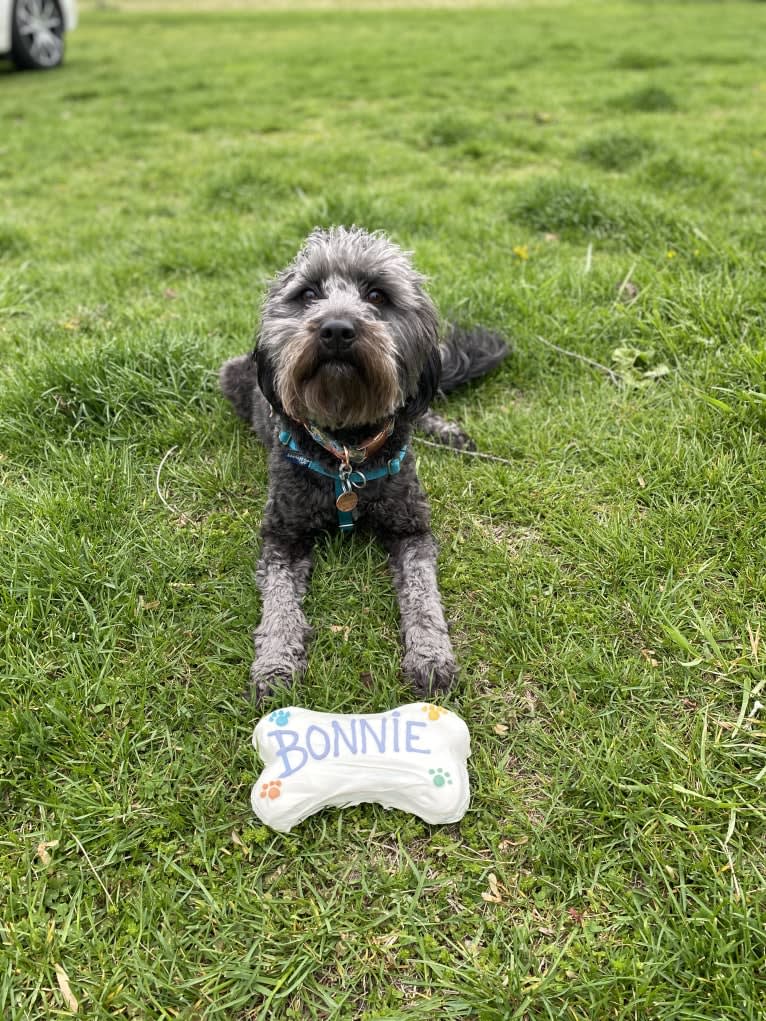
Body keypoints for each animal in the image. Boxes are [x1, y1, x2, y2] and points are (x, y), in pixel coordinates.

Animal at [220, 225, 510, 702]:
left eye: (377, 295)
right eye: (308, 294)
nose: (337, 329)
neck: (346, 449)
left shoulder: (412, 528)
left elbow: (423, 596)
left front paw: (431, 656)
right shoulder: (282, 533)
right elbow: (279, 603)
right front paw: (275, 664)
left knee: (417, 407)